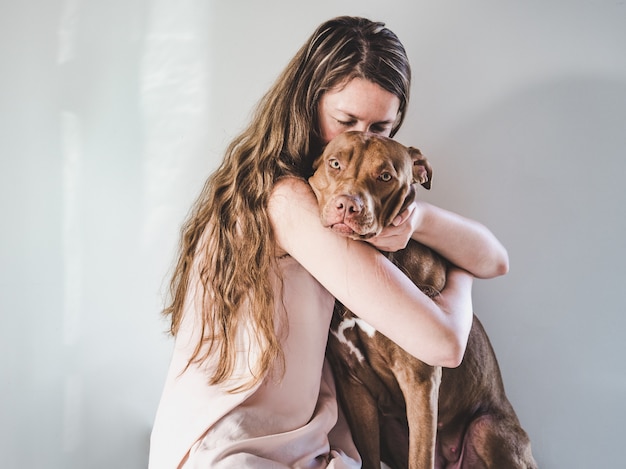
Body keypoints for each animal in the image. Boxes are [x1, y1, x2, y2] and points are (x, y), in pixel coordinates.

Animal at [308, 131, 536, 468]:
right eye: (334, 163)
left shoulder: (419, 379)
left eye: (385, 176)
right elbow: (369, 454)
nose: (348, 205)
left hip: (488, 428)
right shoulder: (354, 384)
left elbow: (420, 455)